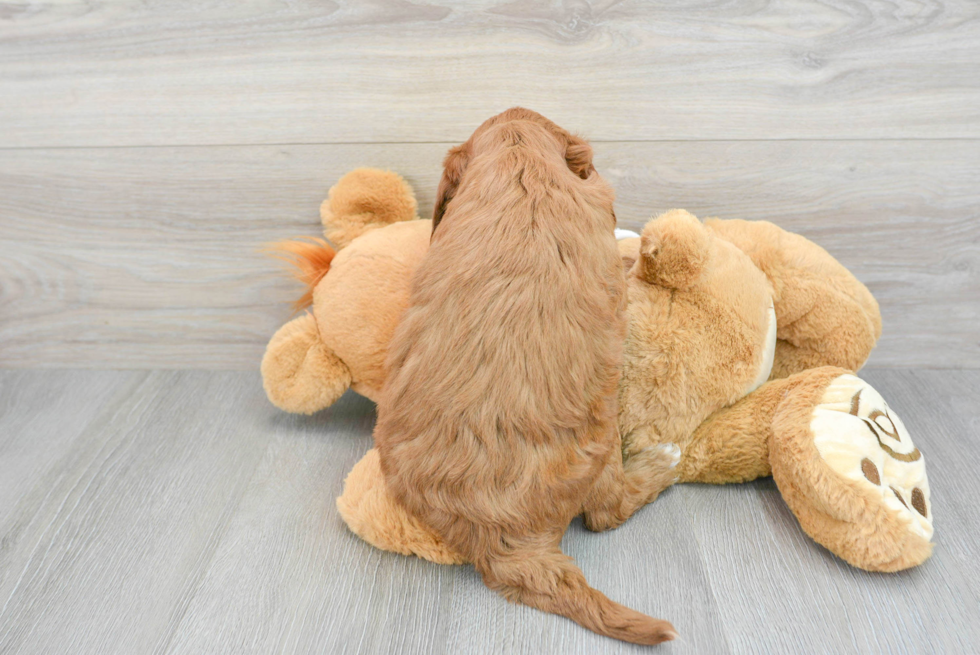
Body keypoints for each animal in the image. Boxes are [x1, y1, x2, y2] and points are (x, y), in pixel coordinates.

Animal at [376, 107, 672, 644]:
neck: (519, 161)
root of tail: (498, 539)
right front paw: (630, 252)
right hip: (603, 439)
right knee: (606, 512)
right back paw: (663, 462)